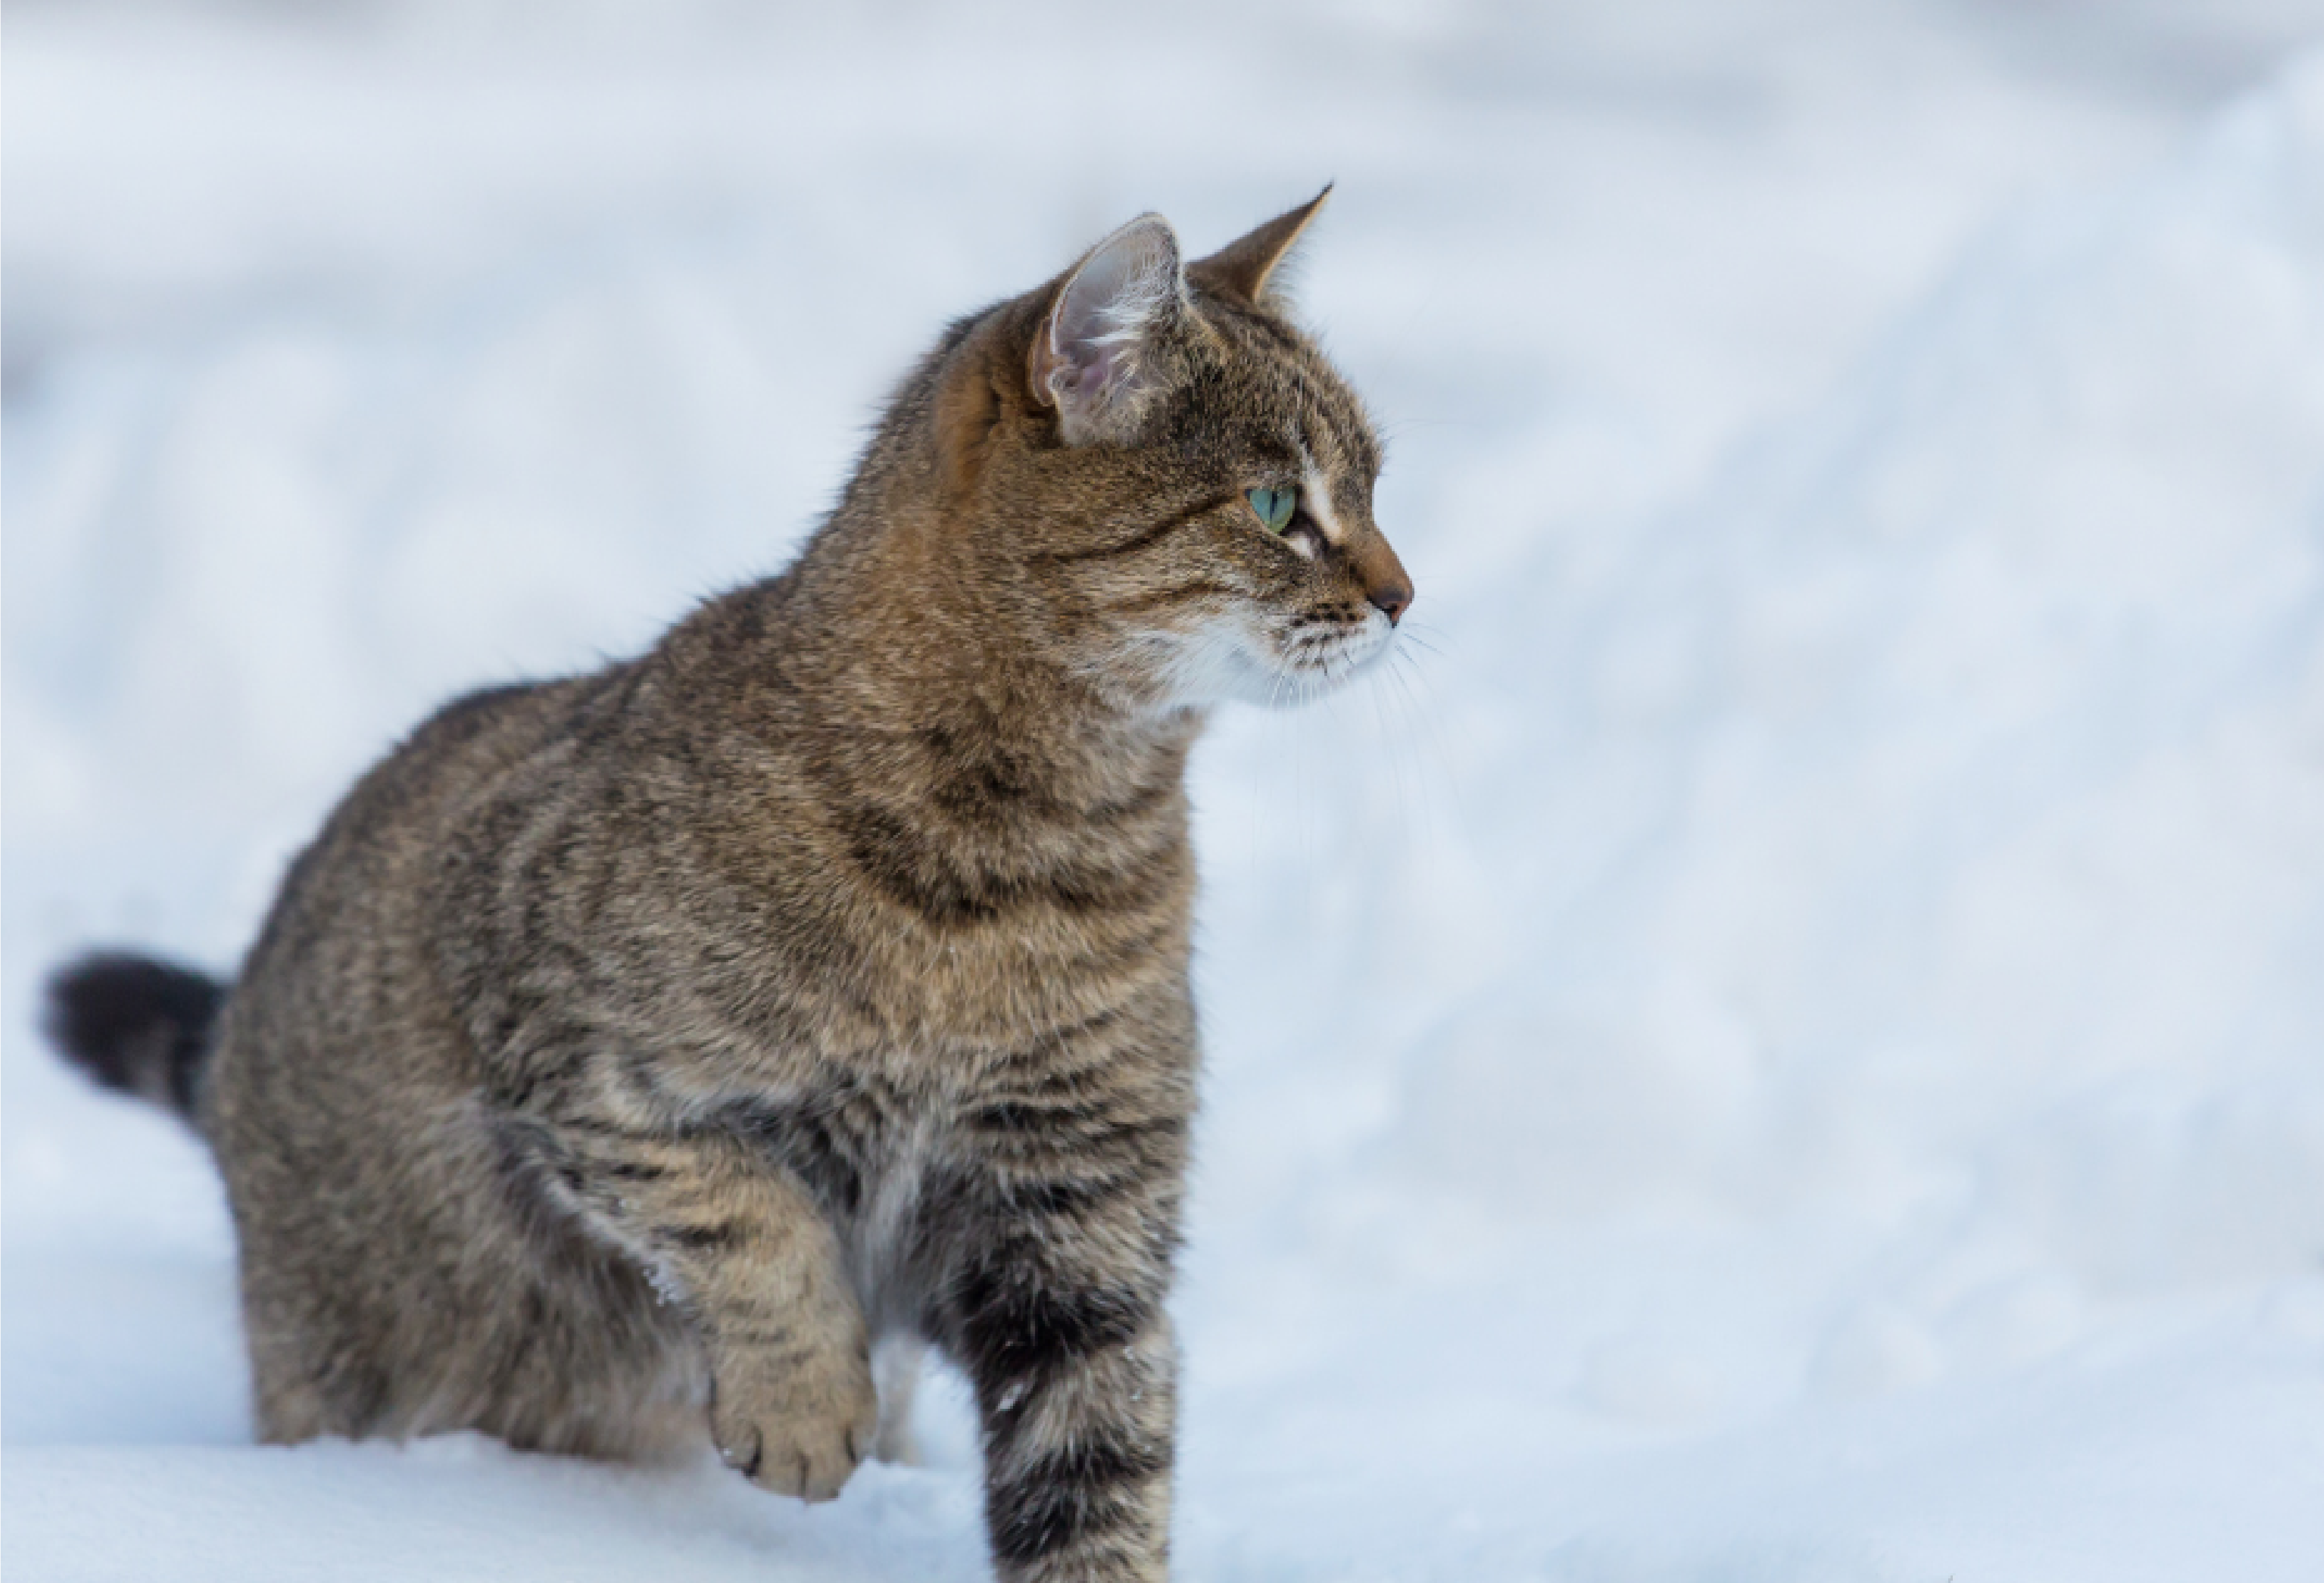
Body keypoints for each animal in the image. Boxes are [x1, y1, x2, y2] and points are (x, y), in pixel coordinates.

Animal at [45, 192, 1403, 1571]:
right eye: (1277, 503)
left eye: (1372, 488)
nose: (1402, 596)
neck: (1030, 860)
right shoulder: (576, 1056)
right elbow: (746, 1216)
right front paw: (801, 1404)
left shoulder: (1078, 1214)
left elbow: (1100, 1479)